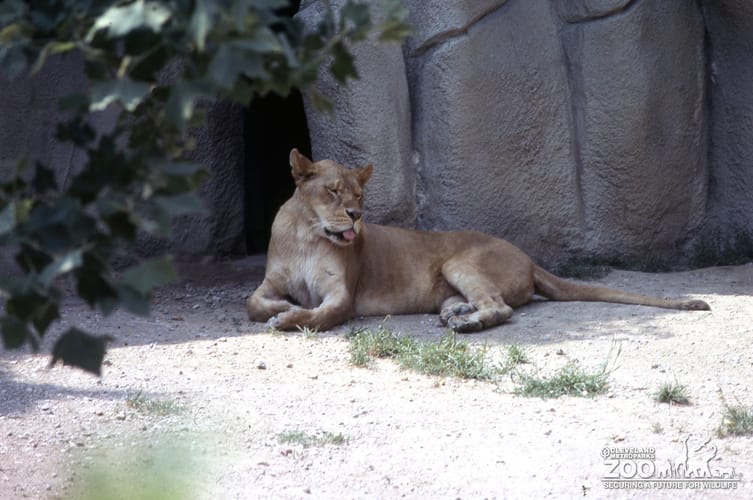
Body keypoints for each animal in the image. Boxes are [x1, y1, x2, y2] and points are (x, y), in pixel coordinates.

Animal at [246, 149, 710, 332]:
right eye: (333, 192)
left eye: (359, 195)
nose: (357, 216)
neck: (308, 236)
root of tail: (529, 258)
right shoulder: (268, 284)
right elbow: (254, 303)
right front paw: (282, 308)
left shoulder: (343, 296)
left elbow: (321, 314)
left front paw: (287, 318)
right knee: (489, 302)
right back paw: (458, 314)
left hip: (460, 262)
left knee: (501, 307)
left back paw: (468, 323)